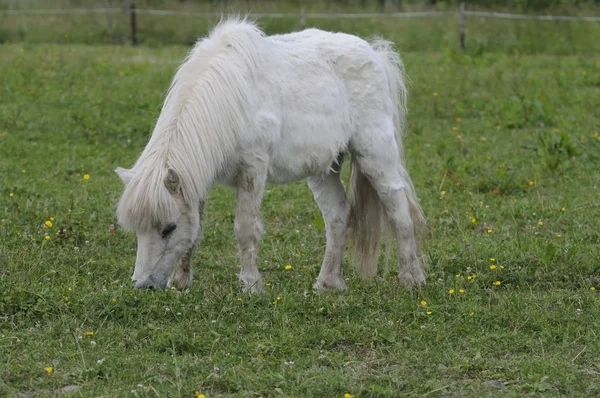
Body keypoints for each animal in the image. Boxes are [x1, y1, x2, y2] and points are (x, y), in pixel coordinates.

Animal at [115, 18, 426, 292]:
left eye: (168, 228)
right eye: (138, 230)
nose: (144, 285)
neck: (229, 96)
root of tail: (375, 53)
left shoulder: (252, 171)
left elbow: (245, 229)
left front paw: (251, 285)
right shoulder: (197, 179)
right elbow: (196, 229)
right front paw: (181, 282)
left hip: (375, 153)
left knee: (398, 208)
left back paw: (411, 278)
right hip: (324, 168)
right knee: (337, 215)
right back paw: (328, 283)